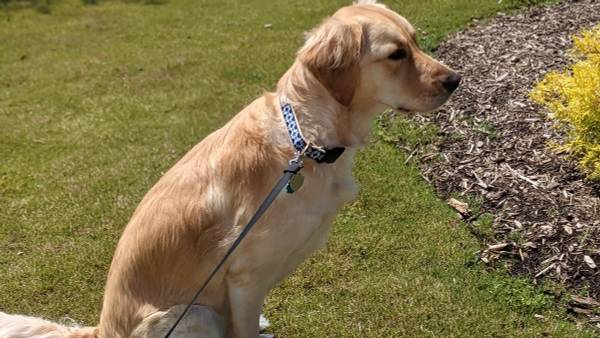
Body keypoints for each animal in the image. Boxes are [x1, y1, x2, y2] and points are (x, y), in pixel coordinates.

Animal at [0, 0, 460, 338]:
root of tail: (102, 330)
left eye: (416, 41)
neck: (305, 140)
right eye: (396, 54)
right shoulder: (244, 278)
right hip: (191, 314)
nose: (456, 80)